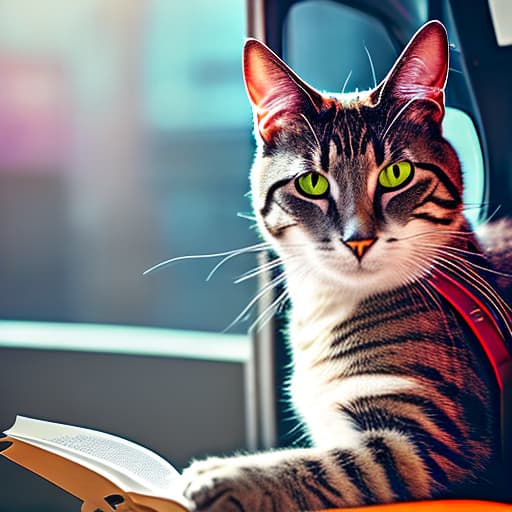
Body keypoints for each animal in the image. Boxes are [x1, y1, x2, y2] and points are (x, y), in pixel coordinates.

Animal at [178, 20, 510, 512]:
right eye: (312, 183)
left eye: (396, 174)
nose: (359, 239)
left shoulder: (436, 441)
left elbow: (328, 466)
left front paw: (221, 475)